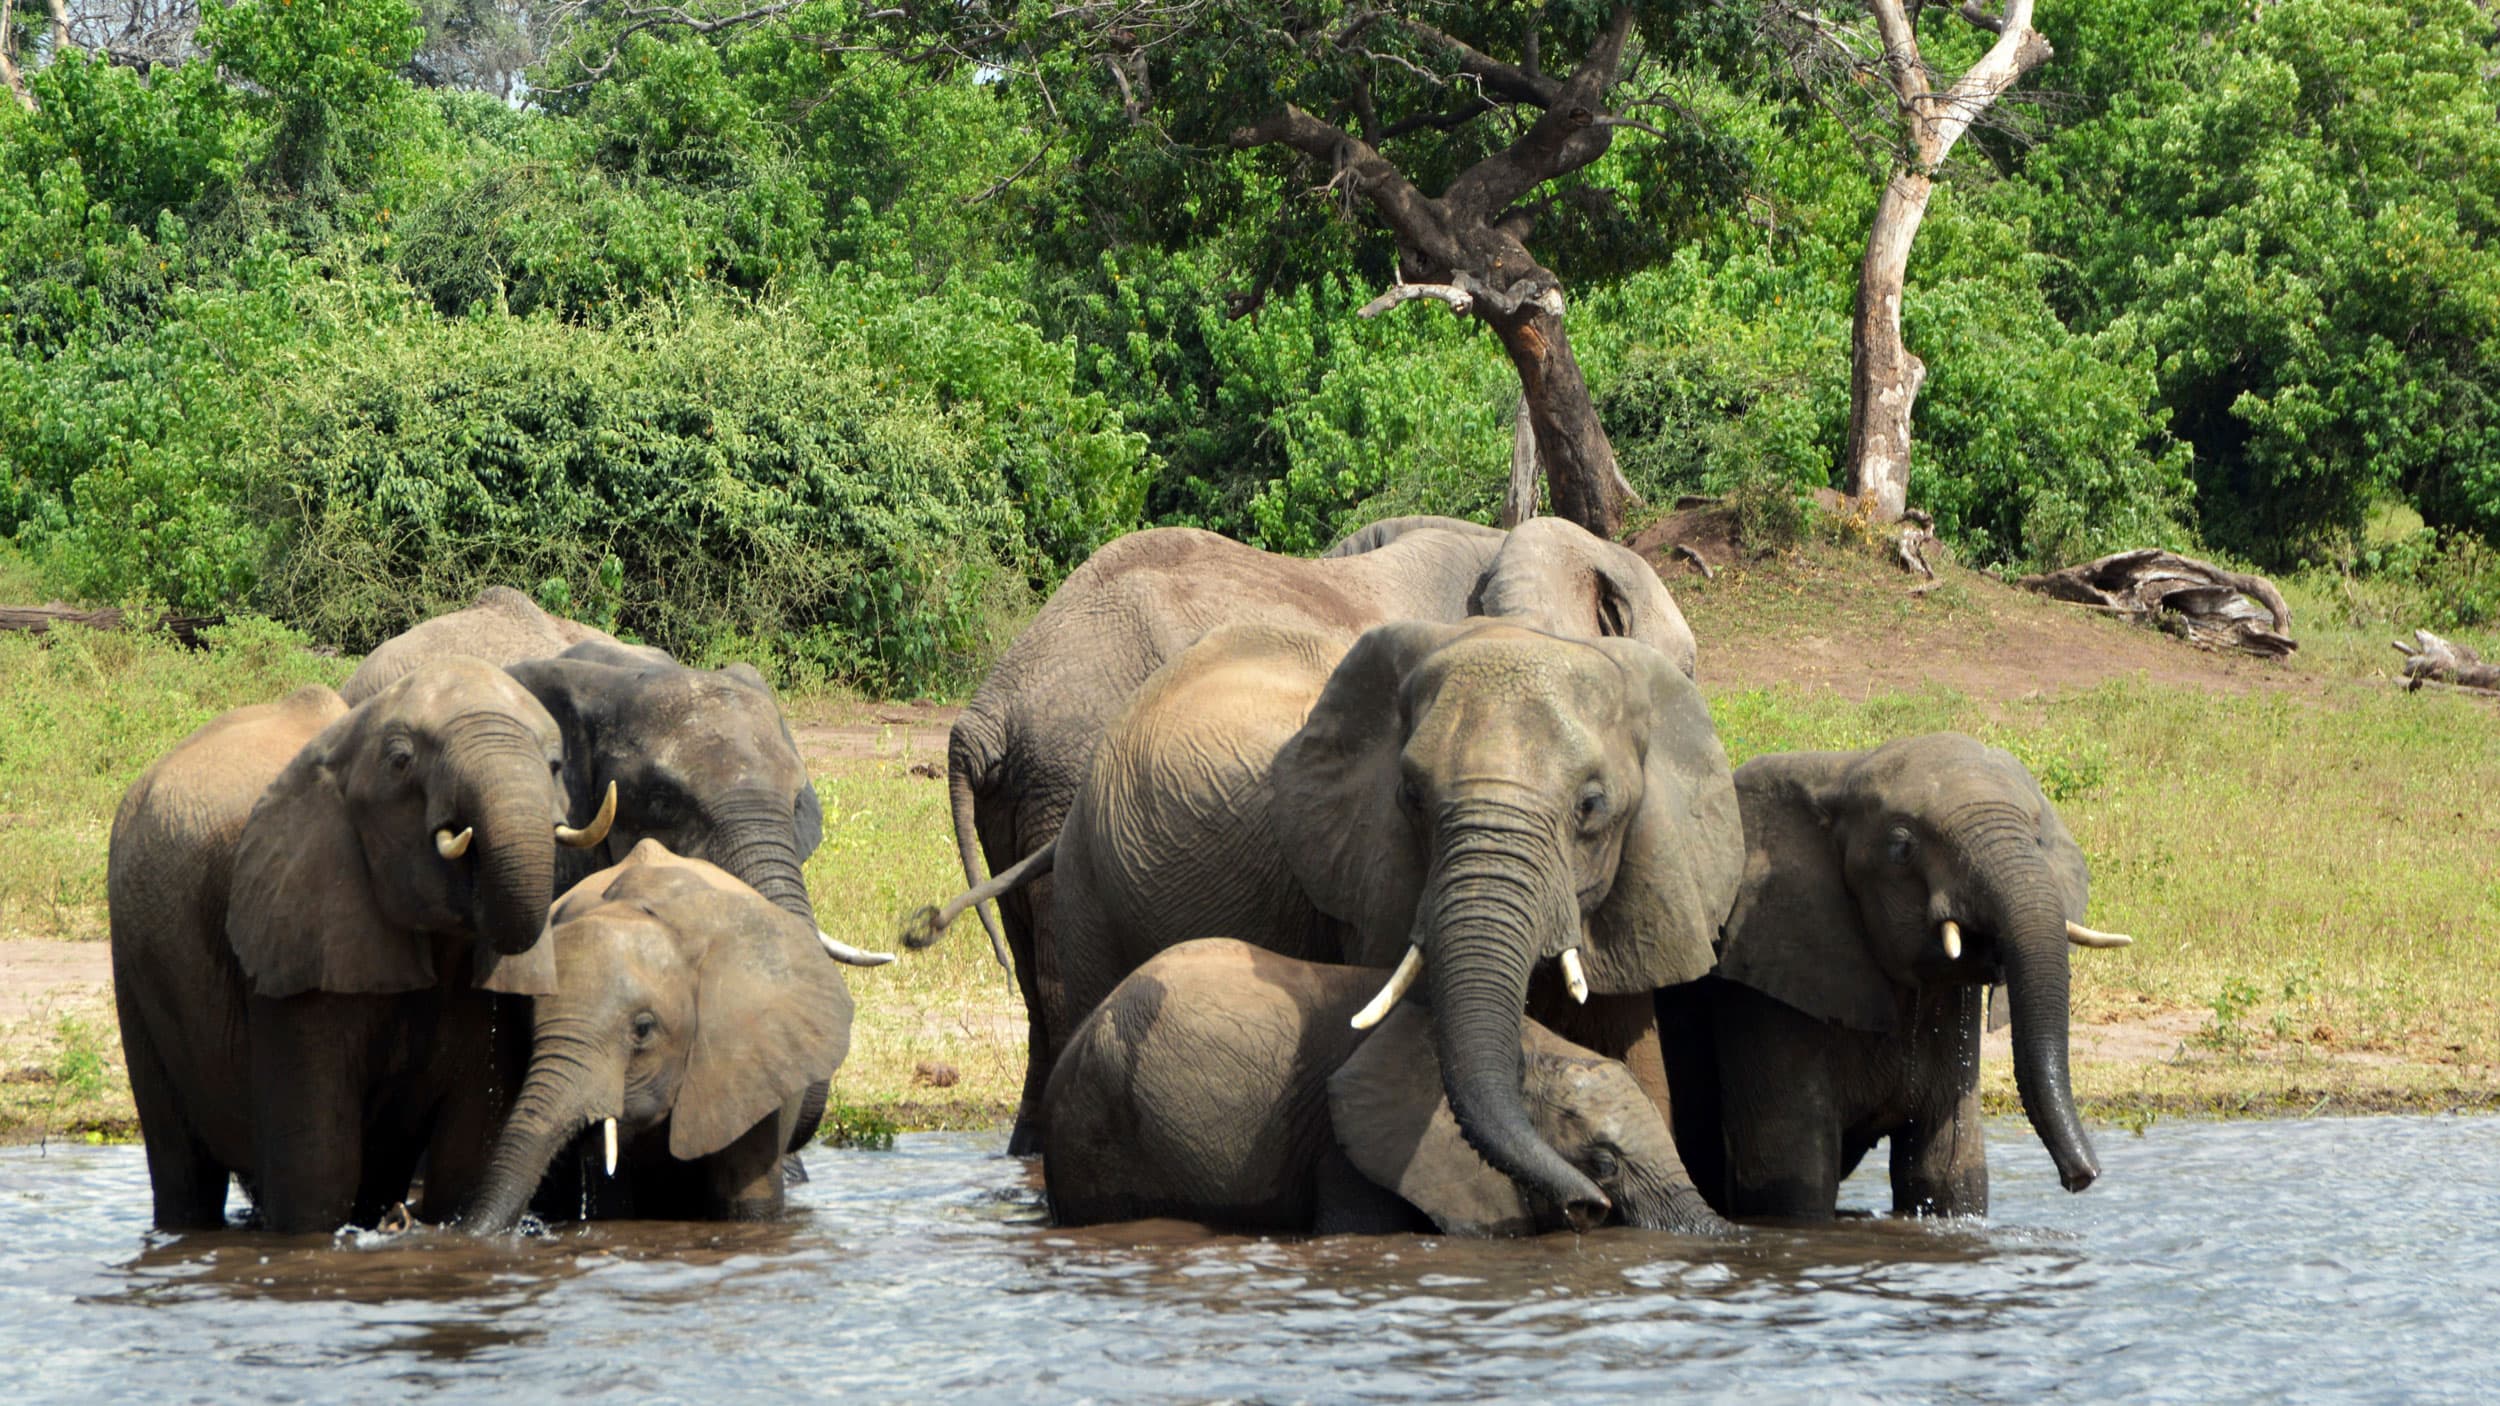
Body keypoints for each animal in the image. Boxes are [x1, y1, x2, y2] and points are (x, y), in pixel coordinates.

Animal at [108, 658, 614, 1232]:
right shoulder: (296, 933)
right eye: (401, 761)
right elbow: (317, 1169)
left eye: (554, 765)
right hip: (134, 964)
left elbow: (468, 1154)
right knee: (183, 1170)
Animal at [1655, 732, 2135, 1220]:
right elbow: (1791, 1183)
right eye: (1901, 848)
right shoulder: (1764, 984)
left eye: (2039, 839)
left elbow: (1947, 1172)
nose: (2080, 1178)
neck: (1842, 772)